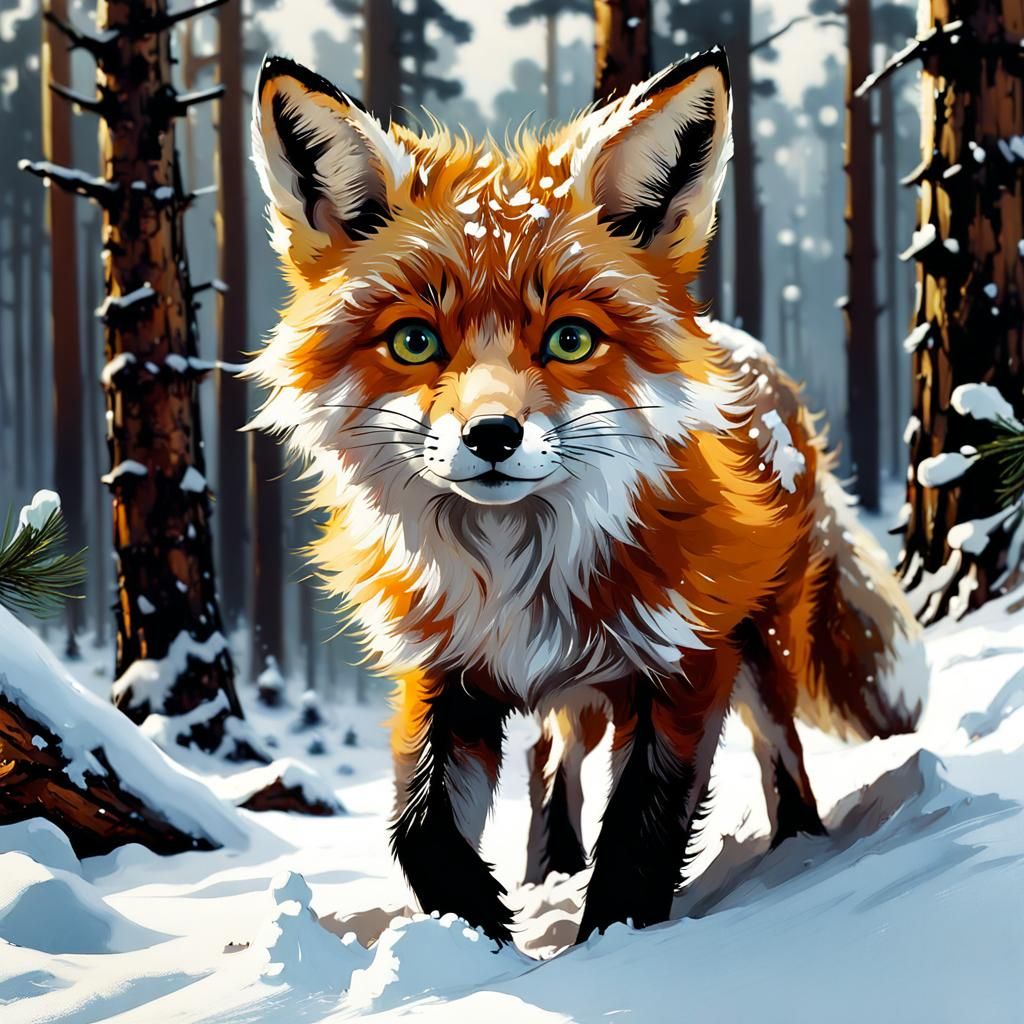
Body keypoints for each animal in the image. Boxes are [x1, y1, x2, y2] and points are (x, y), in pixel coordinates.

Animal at [247, 48, 926, 945]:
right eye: (414, 341)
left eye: (571, 339)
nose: (492, 436)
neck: (517, 576)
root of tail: (758, 358)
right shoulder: (444, 673)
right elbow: (419, 827)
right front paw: (483, 934)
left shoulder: (684, 665)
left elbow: (643, 829)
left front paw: (613, 941)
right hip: (570, 697)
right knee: (553, 761)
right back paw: (551, 869)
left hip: (761, 646)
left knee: (782, 754)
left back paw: (799, 855)